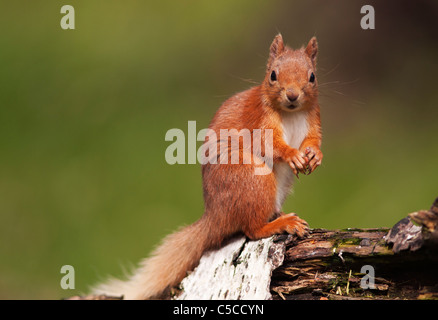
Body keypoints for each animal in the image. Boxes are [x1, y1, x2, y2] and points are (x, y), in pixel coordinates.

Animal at [94, 35, 322, 300]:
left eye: (312, 76)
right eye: (273, 75)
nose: (292, 95)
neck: (290, 113)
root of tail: (215, 215)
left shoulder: (313, 120)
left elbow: (314, 141)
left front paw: (314, 156)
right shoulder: (259, 121)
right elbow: (271, 145)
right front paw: (292, 154)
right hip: (253, 180)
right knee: (252, 229)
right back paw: (281, 223)